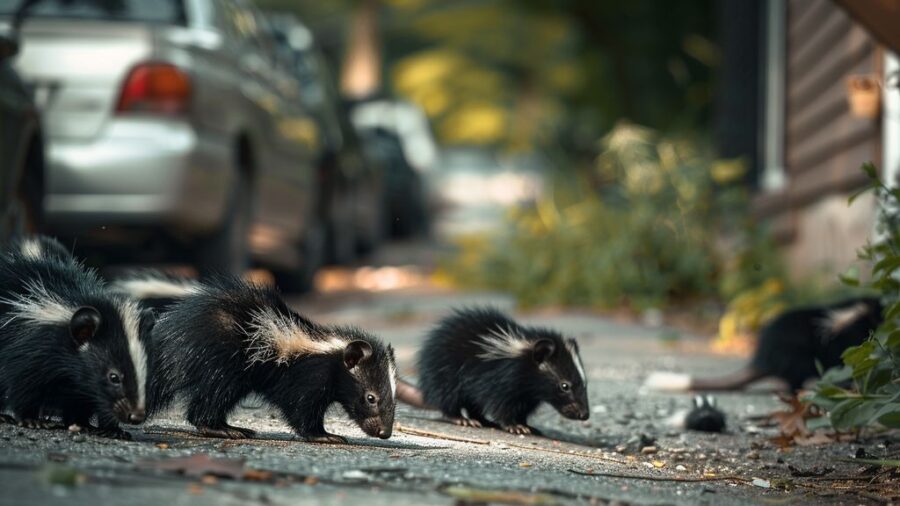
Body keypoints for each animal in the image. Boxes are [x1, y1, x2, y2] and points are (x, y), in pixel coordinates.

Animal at [0, 235, 149, 436]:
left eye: (144, 373)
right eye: (114, 377)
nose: (136, 416)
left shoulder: (80, 382)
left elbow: (85, 399)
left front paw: (96, 426)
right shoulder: (31, 349)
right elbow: (23, 386)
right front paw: (31, 420)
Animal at [146, 276, 396, 442]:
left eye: (393, 400)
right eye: (371, 398)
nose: (385, 432)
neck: (328, 351)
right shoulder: (307, 377)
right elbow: (301, 409)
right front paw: (324, 435)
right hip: (222, 359)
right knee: (213, 394)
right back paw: (224, 429)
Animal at [400, 308, 592, 434]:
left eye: (584, 384)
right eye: (565, 386)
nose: (584, 414)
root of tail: (427, 390)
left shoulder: (528, 394)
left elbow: (522, 409)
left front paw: (526, 425)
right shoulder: (503, 379)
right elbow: (501, 404)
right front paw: (514, 426)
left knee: (472, 404)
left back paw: (484, 420)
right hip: (446, 373)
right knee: (449, 400)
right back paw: (462, 419)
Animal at [648, 294, 884, 394]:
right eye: (880, 310)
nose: (888, 310)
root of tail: (762, 359)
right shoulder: (844, 341)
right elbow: (843, 360)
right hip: (795, 356)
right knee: (795, 377)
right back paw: (799, 389)